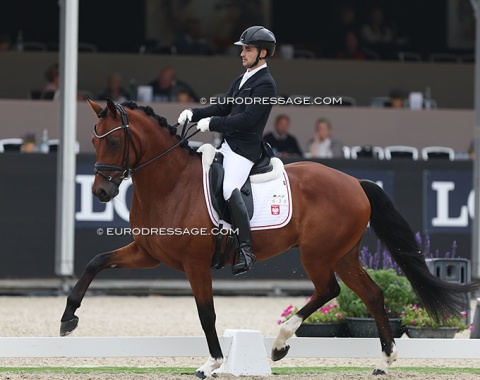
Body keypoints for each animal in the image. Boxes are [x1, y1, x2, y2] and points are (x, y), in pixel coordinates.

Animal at [62, 99, 478, 378]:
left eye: (114, 143)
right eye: (95, 141)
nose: (100, 192)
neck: (170, 184)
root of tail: (354, 182)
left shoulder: (196, 264)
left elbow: (206, 313)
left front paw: (212, 363)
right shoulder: (147, 253)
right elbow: (95, 263)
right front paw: (68, 320)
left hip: (317, 254)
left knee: (329, 290)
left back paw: (281, 342)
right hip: (343, 254)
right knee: (372, 294)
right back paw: (383, 362)